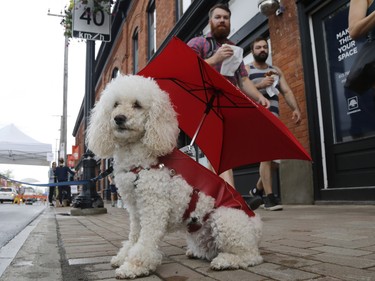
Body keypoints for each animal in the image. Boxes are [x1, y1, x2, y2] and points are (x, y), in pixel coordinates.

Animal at [87, 74, 264, 278]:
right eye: (115, 104)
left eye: (137, 105)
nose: (118, 118)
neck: (141, 159)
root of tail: (256, 226)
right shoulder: (135, 209)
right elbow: (134, 236)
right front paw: (123, 256)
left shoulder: (154, 206)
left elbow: (146, 240)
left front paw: (134, 266)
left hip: (225, 219)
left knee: (251, 256)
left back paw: (225, 261)